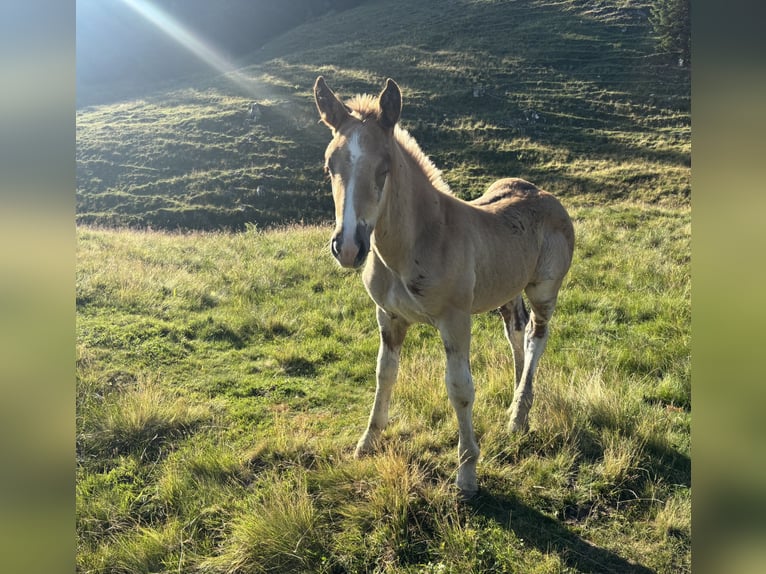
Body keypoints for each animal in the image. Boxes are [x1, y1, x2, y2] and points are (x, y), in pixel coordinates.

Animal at [313, 76, 574, 497]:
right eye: (329, 166)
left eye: (384, 167)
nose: (349, 247)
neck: (416, 242)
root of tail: (547, 196)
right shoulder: (388, 318)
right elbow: (384, 376)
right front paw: (367, 443)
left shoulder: (455, 319)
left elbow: (460, 389)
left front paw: (467, 472)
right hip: (506, 289)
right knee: (515, 332)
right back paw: (516, 399)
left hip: (544, 289)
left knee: (538, 336)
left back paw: (519, 416)